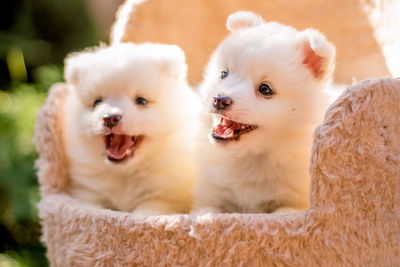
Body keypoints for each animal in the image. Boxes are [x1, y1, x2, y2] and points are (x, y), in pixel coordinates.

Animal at [62, 43, 198, 216]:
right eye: (97, 102)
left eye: (141, 100)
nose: (110, 118)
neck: (124, 174)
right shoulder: (88, 192)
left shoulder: (161, 199)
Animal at [192, 11, 336, 215]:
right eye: (223, 74)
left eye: (265, 89)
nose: (219, 100)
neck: (253, 156)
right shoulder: (211, 194)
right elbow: (207, 211)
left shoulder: (296, 202)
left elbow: (283, 212)